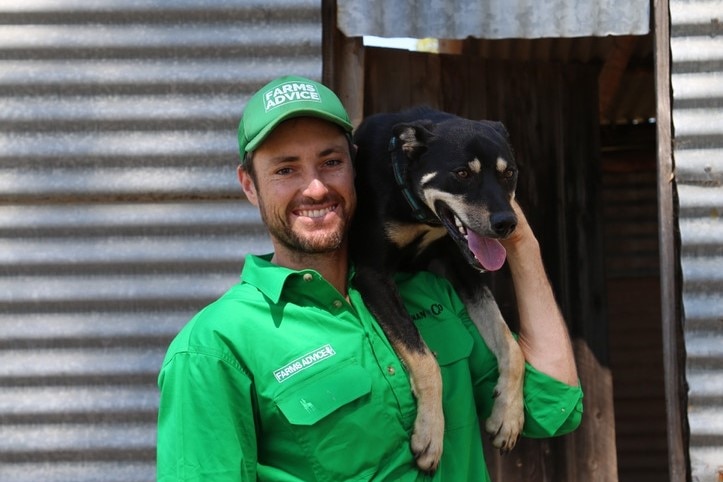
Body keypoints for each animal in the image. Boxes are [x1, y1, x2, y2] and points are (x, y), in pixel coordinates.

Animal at [350, 107, 528, 472]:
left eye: (509, 173)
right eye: (462, 173)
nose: (507, 223)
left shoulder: (464, 264)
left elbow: (510, 345)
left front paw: (509, 416)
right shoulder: (373, 274)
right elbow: (425, 357)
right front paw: (431, 432)